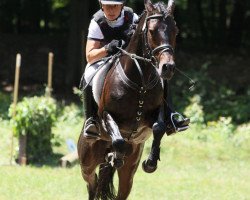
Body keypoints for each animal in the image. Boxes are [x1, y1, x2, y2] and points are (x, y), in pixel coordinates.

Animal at [77, 0, 178, 199]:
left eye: (175, 31)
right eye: (151, 31)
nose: (167, 67)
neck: (140, 82)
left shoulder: (157, 111)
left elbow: (159, 127)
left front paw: (151, 162)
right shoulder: (106, 115)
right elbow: (118, 140)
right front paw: (115, 157)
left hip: (129, 170)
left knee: (121, 188)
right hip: (87, 164)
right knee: (92, 185)